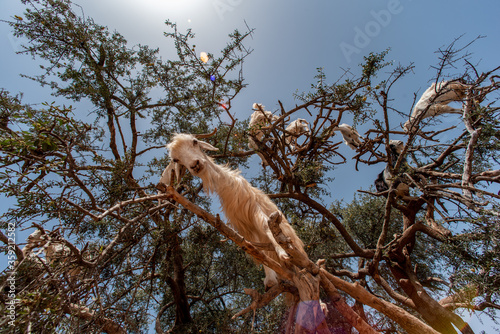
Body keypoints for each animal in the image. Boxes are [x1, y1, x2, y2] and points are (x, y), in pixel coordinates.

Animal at [158, 133, 306, 290]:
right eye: (176, 159)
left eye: (195, 141)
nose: (195, 165)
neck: (227, 186)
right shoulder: (244, 227)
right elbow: (257, 250)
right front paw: (270, 280)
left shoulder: (253, 207)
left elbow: (266, 226)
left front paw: (282, 252)